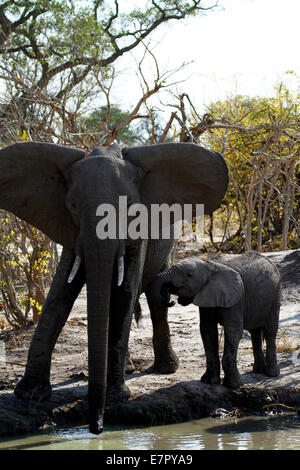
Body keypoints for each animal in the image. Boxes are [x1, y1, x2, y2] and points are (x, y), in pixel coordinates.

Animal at [0, 140, 227, 434]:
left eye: (130, 205)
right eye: (72, 204)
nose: (96, 427)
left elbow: (124, 293)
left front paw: (116, 398)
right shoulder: (72, 229)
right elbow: (59, 293)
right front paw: (29, 394)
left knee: (155, 297)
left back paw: (165, 369)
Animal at [150, 252, 282, 388]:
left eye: (189, 275)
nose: (171, 301)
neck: (211, 267)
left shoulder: (236, 301)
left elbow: (233, 330)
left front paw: (234, 385)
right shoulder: (206, 299)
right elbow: (207, 331)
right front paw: (209, 382)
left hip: (275, 296)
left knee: (270, 331)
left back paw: (272, 374)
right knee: (254, 332)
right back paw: (258, 370)